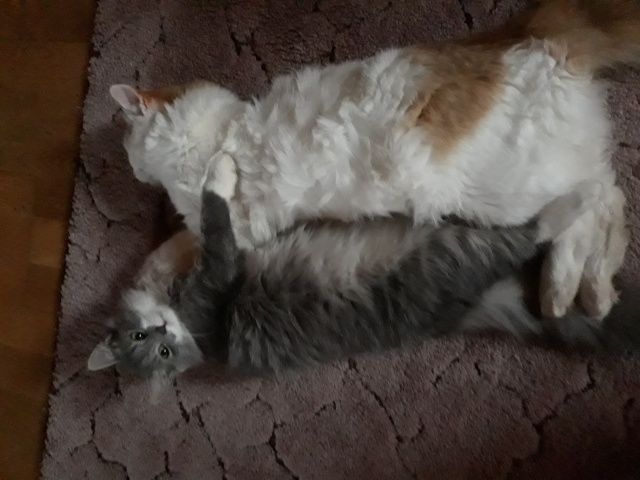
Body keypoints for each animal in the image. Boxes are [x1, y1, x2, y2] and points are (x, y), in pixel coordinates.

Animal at [87, 164, 618, 392]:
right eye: (157, 351)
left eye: (145, 340)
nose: (162, 331)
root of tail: (458, 314)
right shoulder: (217, 278)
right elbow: (215, 212)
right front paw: (216, 175)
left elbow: (183, 233)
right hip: (458, 248)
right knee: (533, 233)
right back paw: (581, 196)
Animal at [108, 0, 638, 321]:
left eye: (127, 144)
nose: (130, 169)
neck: (220, 132)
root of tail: (528, 37)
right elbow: (175, 245)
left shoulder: (231, 224)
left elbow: (177, 247)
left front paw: (147, 281)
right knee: (598, 209)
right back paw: (581, 292)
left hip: (507, 192)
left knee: (601, 200)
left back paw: (574, 290)